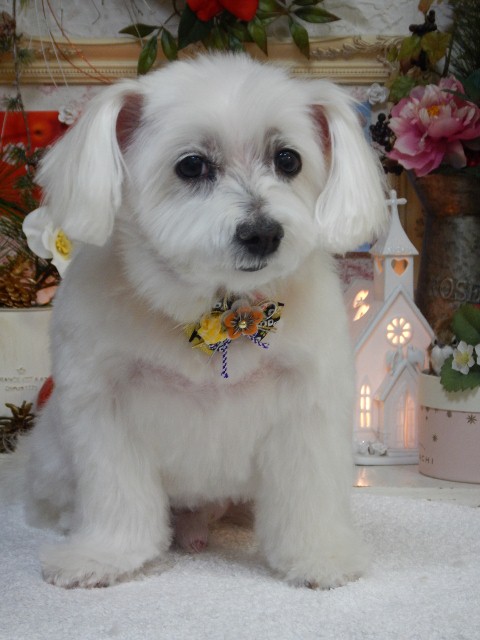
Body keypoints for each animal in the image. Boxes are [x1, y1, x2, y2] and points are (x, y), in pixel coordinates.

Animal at [15, 53, 388, 589]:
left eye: (288, 160)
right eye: (191, 165)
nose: (262, 233)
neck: (216, 313)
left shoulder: (307, 404)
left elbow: (308, 492)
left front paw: (320, 556)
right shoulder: (104, 405)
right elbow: (116, 496)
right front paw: (104, 557)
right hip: (51, 454)